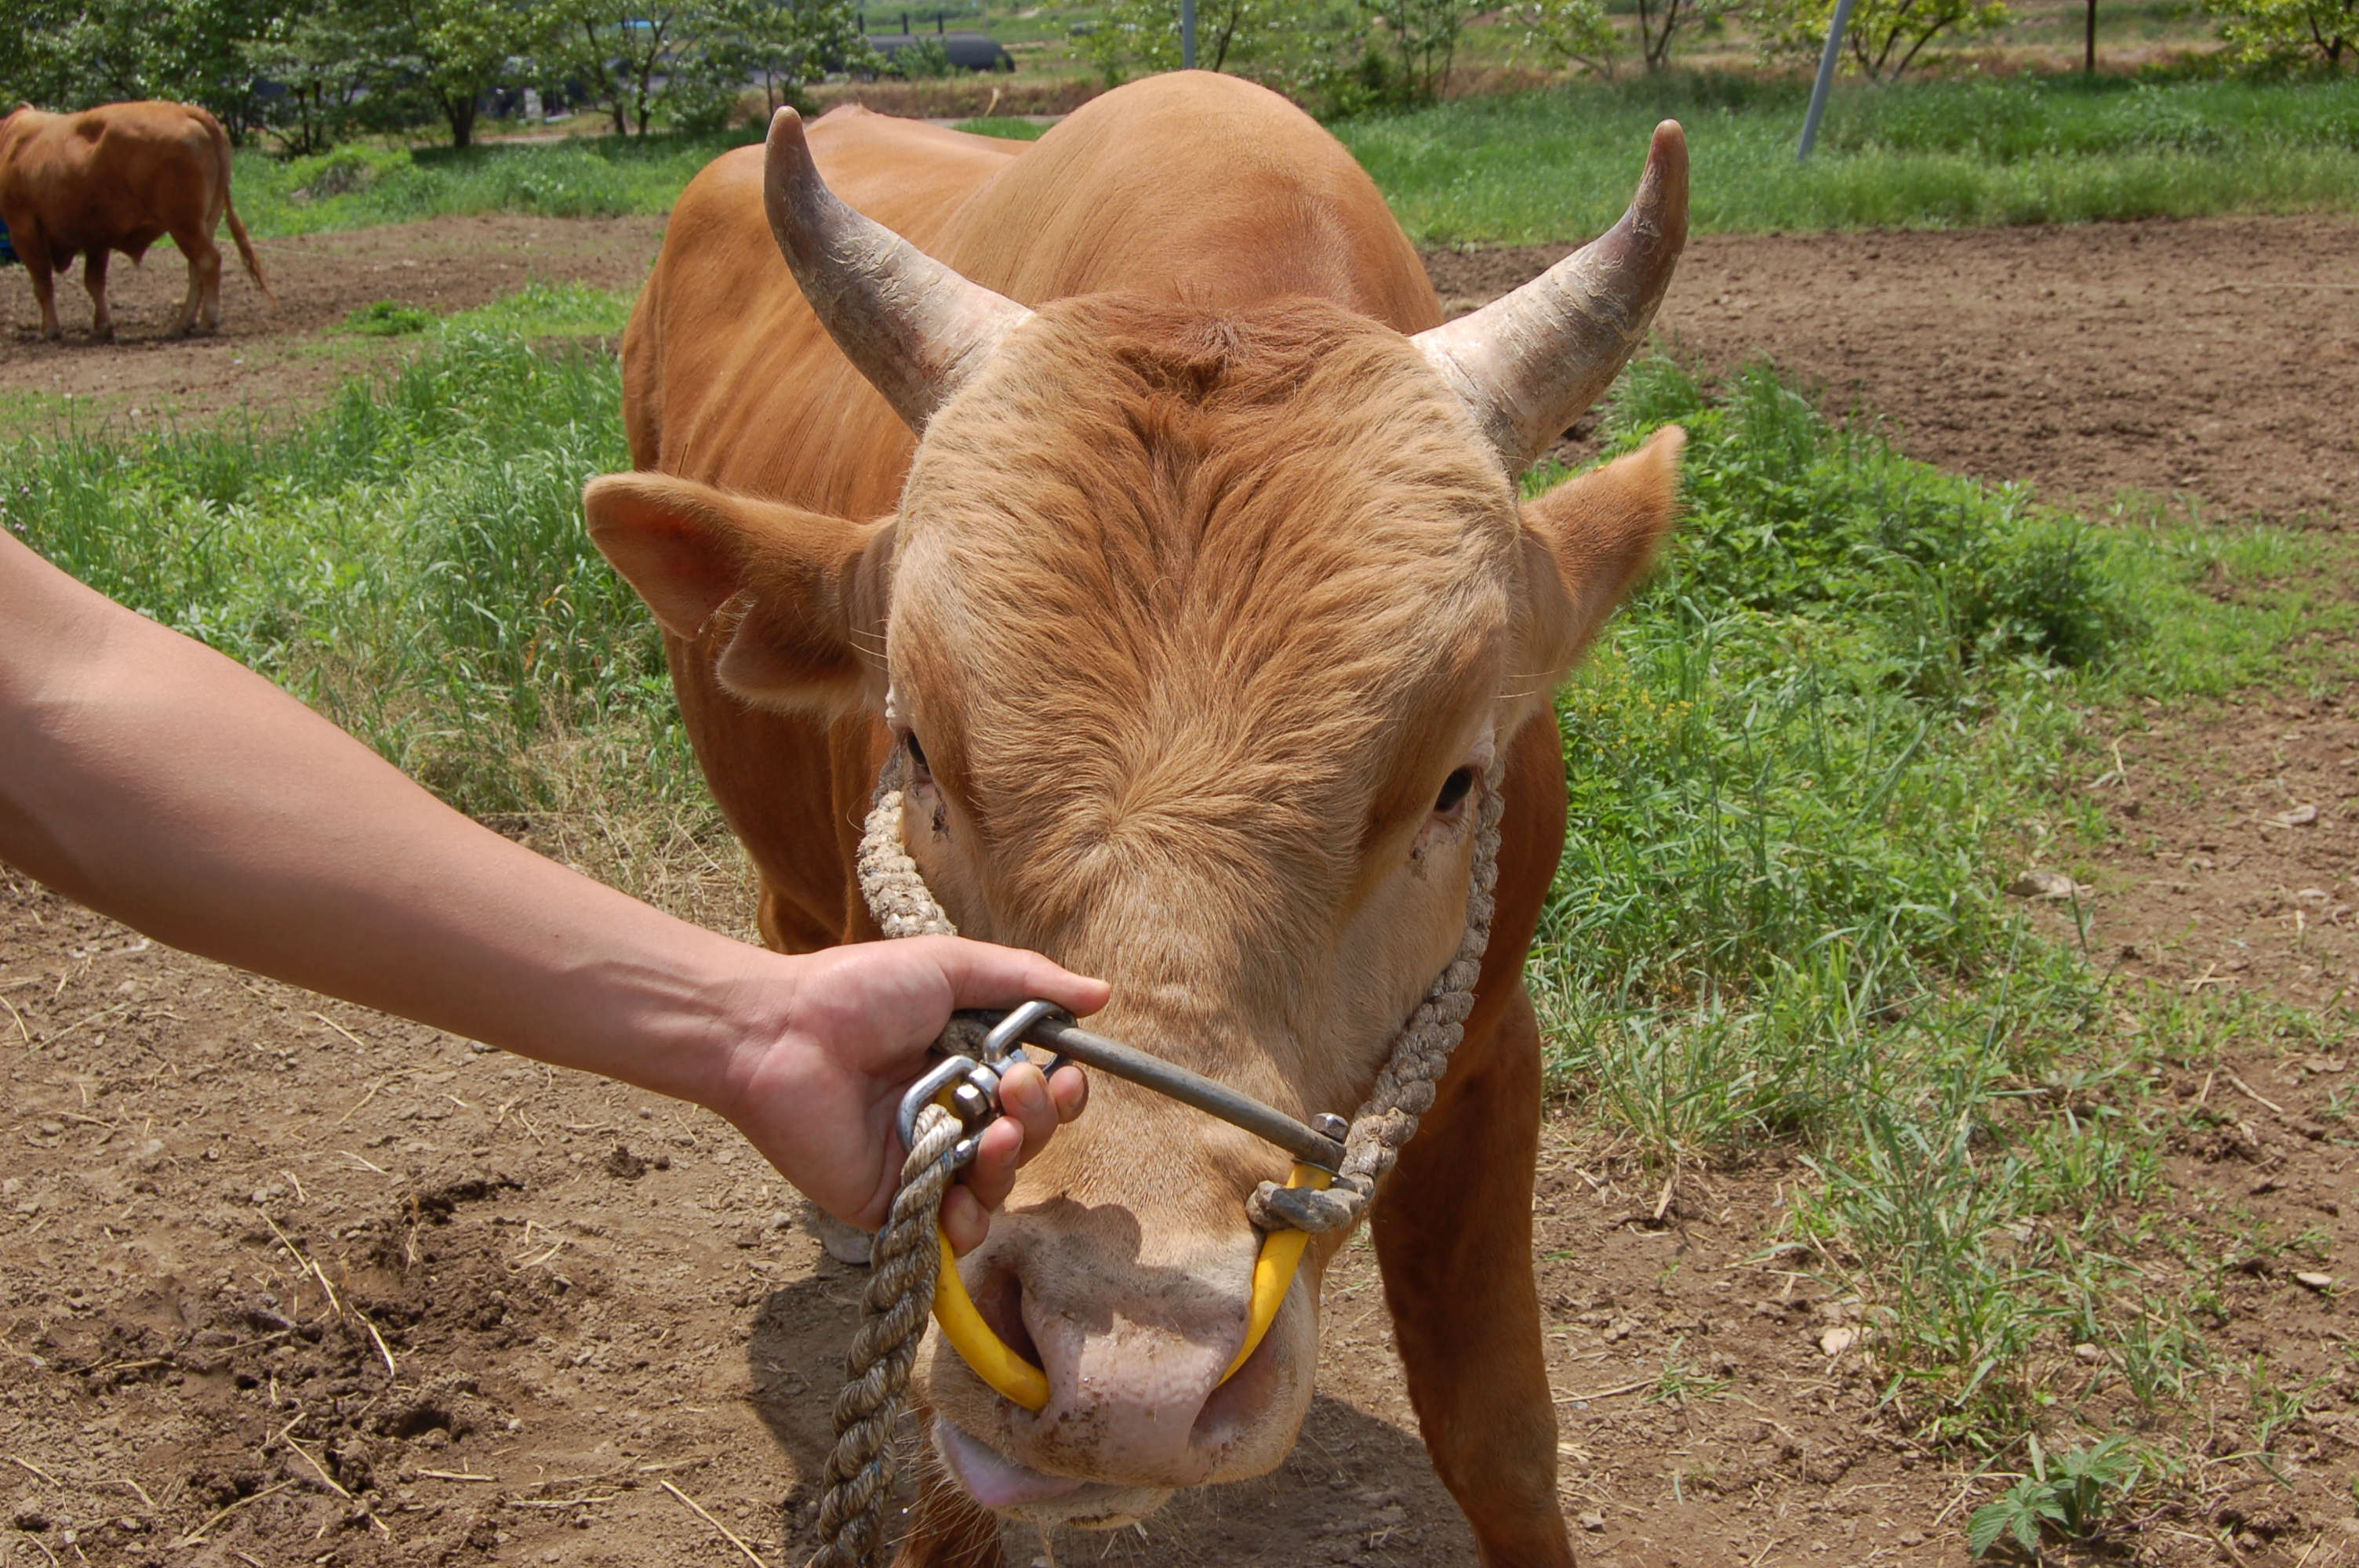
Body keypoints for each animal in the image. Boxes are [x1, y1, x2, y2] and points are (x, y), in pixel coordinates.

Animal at [0, 101, 271, 342]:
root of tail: (184, 110)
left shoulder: (24, 230)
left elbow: (43, 283)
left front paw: (49, 330)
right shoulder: (96, 236)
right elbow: (94, 282)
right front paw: (102, 328)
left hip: (184, 223)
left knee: (208, 262)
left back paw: (206, 322)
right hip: (204, 222)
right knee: (196, 269)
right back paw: (182, 323)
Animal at [580, 67, 1679, 1555]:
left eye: (1455, 782)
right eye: (917, 747)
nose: (1132, 1371)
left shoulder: (1491, 1053)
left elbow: (1501, 1437)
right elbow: (946, 1497)